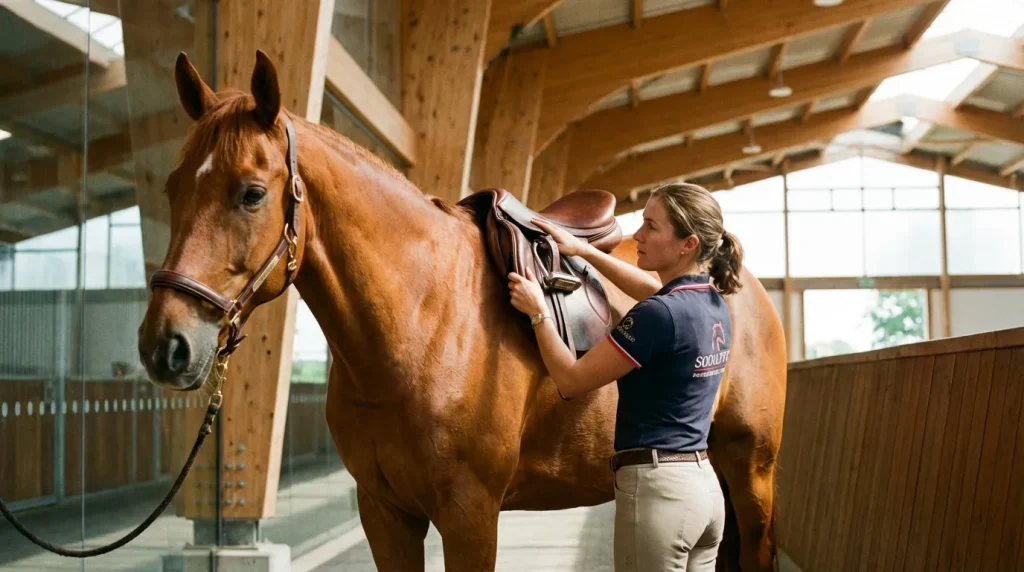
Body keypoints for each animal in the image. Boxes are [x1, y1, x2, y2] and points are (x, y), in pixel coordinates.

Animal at [137, 51, 787, 572]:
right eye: (172, 188)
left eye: (251, 193)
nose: (165, 345)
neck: (419, 323)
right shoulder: (384, 512)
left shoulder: (469, 514)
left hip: (750, 473)